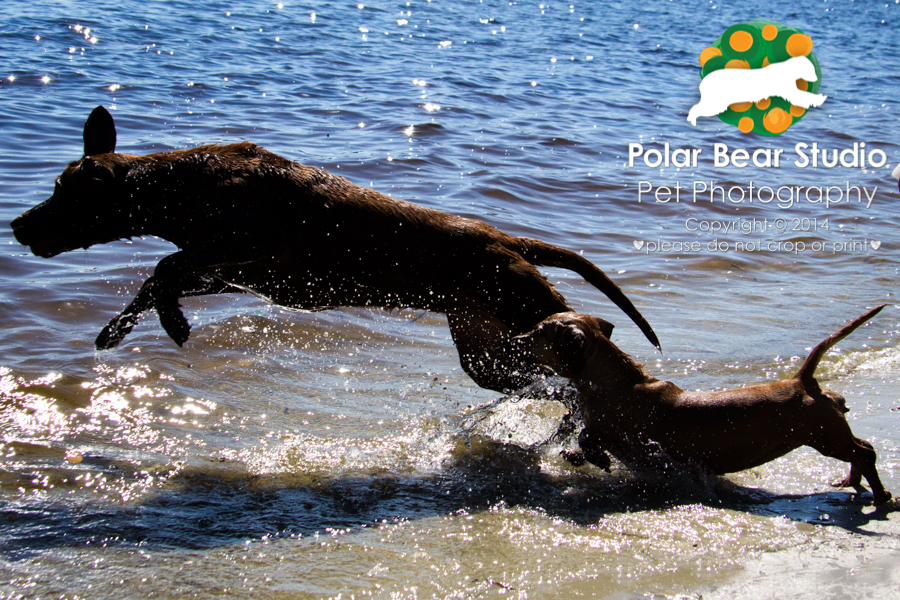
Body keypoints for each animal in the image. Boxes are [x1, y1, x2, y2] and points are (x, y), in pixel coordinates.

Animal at [10, 105, 656, 392]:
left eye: (62, 192)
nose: (17, 225)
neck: (177, 186)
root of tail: (506, 238)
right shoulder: (231, 271)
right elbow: (158, 276)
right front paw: (115, 329)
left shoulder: (247, 246)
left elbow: (165, 264)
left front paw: (171, 322)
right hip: (482, 346)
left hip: (523, 303)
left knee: (595, 332)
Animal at [520, 304, 892, 506]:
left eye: (539, 333)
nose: (516, 338)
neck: (617, 381)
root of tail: (802, 382)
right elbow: (584, 437)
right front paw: (576, 455)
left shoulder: (623, 432)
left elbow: (589, 436)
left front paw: (593, 457)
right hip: (830, 433)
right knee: (863, 447)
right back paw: (852, 481)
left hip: (824, 437)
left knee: (865, 451)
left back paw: (881, 496)